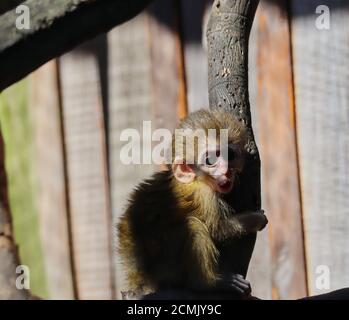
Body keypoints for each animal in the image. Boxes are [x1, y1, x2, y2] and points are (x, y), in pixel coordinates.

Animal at [117, 108, 266, 300]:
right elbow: (219, 230)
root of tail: (138, 277)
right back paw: (208, 284)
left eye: (230, 155)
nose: (226, 170)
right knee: (193, 225)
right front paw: (257, 219)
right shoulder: (204, 194)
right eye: (211, 160)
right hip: (166, 267)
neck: (197, 178)